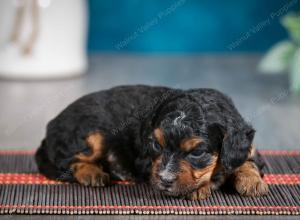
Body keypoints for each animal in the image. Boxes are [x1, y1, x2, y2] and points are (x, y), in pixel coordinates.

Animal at [35, 84, 270, 199]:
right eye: (157, 145)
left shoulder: (246, 146)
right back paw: (93, 173)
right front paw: (199, 188)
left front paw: (252, 182)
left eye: (197, 152)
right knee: (69, 161)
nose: (165, 179)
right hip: (93, 135)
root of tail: (49, 127)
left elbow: (248, 161)